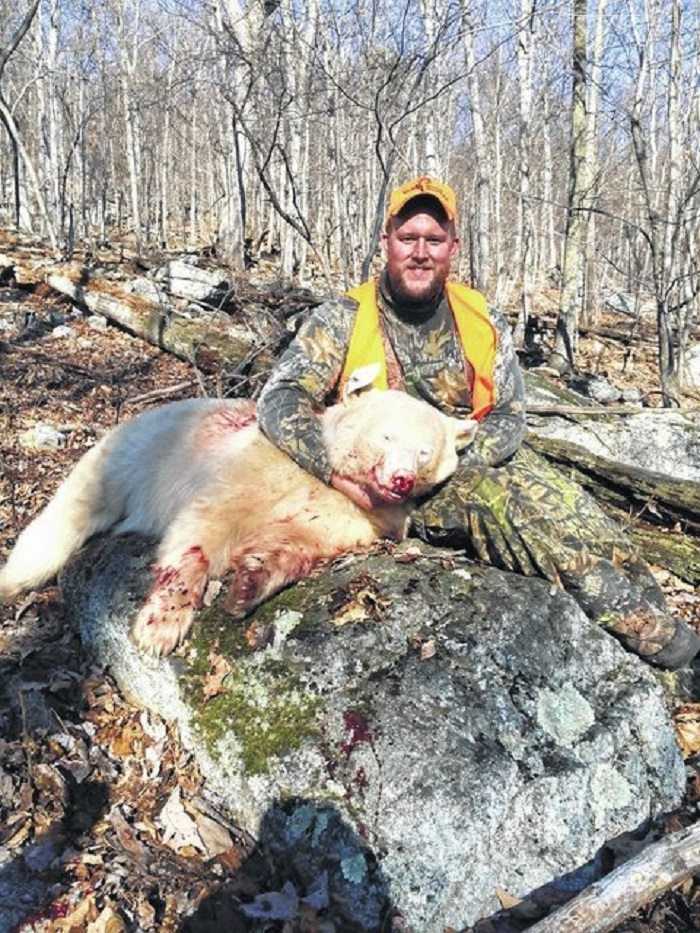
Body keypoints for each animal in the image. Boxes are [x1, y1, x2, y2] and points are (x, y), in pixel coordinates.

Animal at [0, 386, 476, 655]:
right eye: (387, 436)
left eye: (424, 451)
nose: (400, 479)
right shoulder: (256, 467)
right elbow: (208, 522)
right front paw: (160, 628)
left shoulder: (350, 514)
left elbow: (297, 541)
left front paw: (249, 582)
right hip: (128, 459)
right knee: (66, 518)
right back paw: (13, 580)